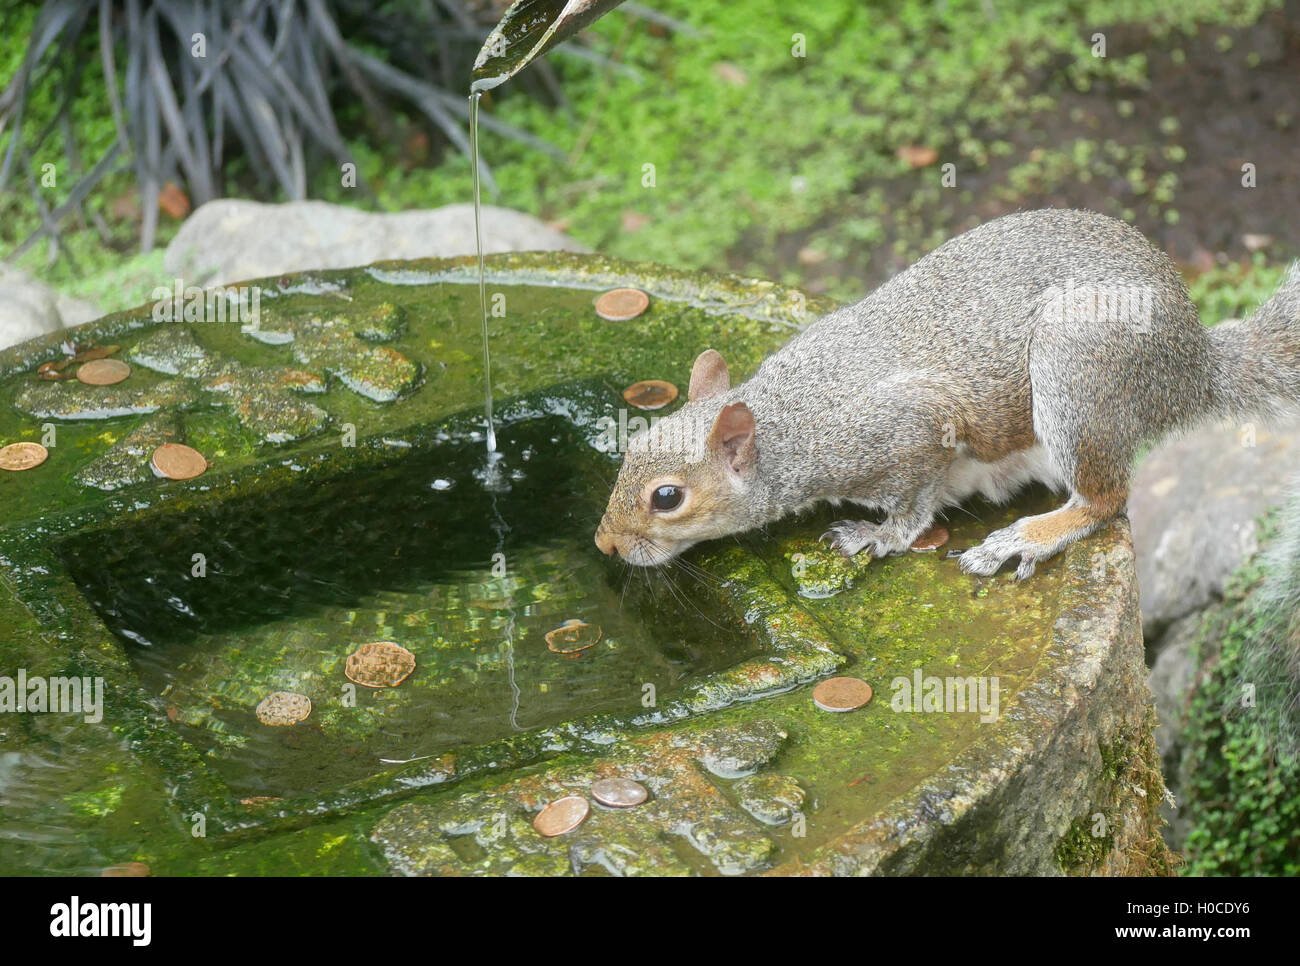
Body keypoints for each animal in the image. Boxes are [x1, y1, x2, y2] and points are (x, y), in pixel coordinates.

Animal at [595, 208, 1300, 580]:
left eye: (667, 498)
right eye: (629, 452)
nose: (606, 544)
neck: (791, 418)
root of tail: (1194, 366)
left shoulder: (906, 429)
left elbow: (915, 499)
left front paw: (877, 536)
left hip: (1080, 368)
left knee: (1105, 498)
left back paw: (1027, 536)